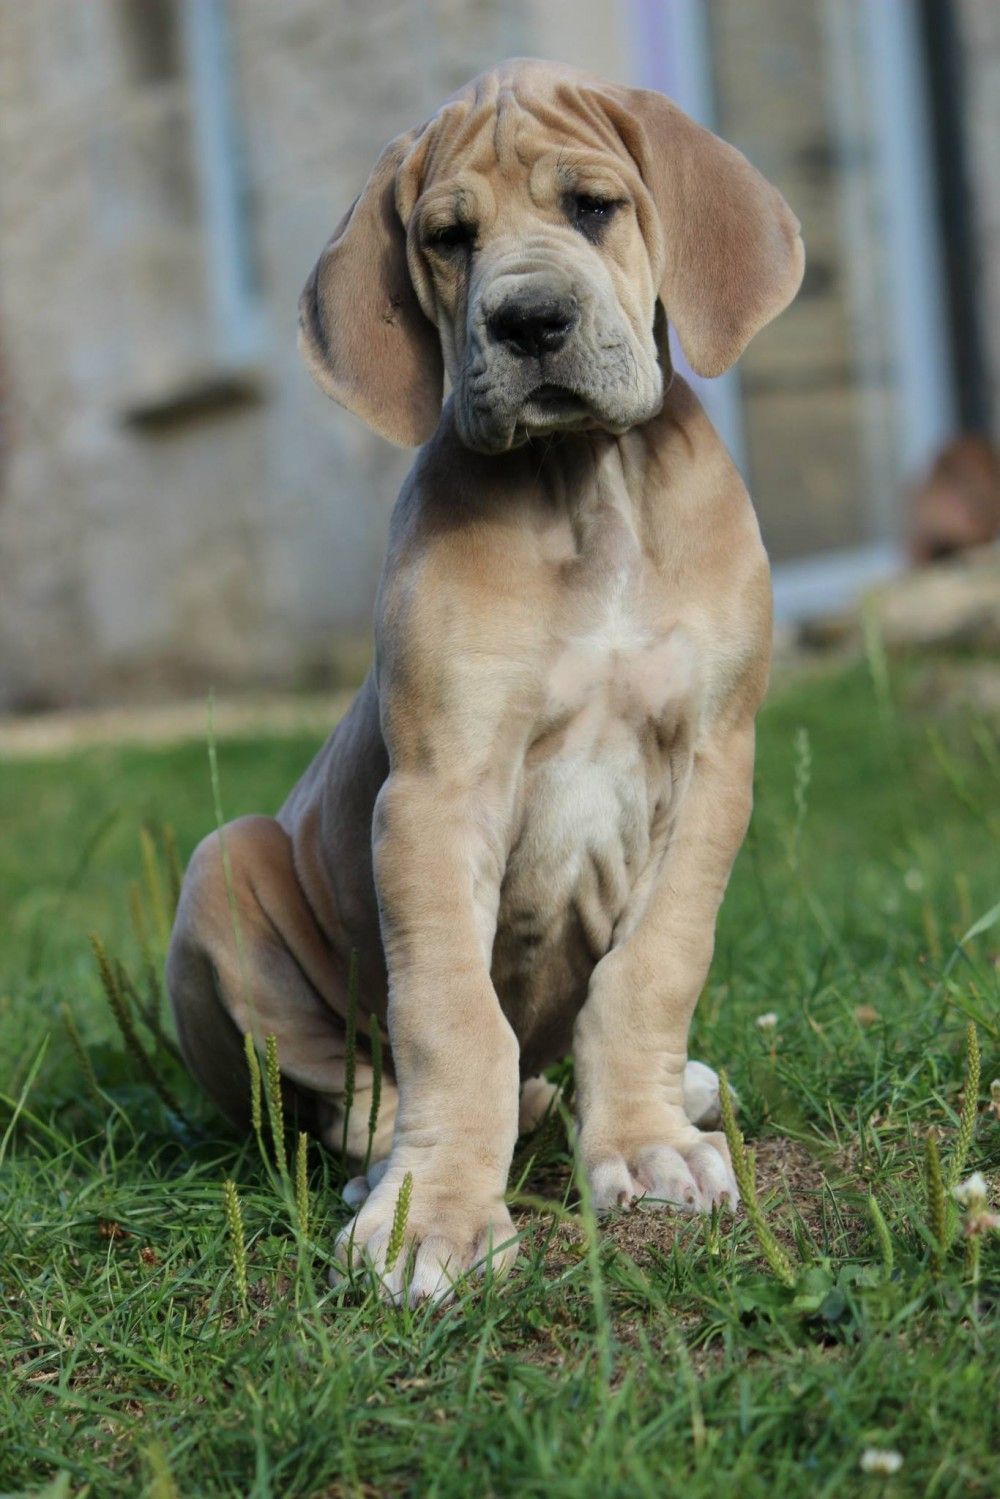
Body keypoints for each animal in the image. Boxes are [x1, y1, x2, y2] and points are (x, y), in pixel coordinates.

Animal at [167, 59, 804, 1305]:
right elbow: (453, 1016)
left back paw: (674, 1091)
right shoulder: (436, 786)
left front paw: (647, 1142)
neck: (586, 485)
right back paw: (388, 1171)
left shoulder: (713, 765)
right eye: (449, 239)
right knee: (354, 1095)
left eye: (593, 208)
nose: (528, 320)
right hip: (223, 866)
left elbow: (651, 968)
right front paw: (434, 1216)